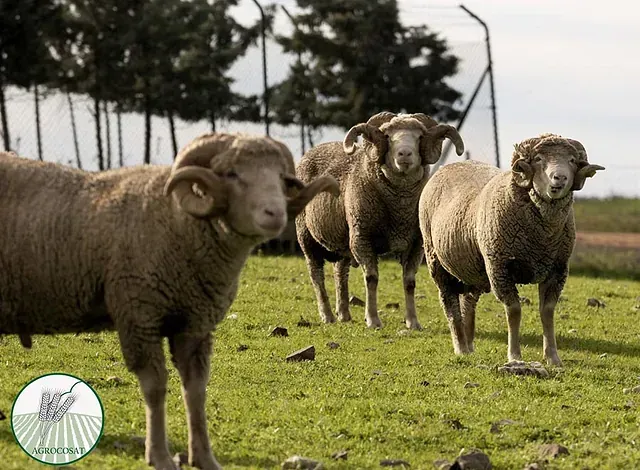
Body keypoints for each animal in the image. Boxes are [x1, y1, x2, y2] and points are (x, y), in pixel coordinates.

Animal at [0, 133, 338, 470]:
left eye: (282, 178)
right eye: (231, 174)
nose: (275, 214)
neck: (178, 222)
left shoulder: (196, 326)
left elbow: (196, 391)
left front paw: (204, 458)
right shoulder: (140, 316)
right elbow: (155, 387)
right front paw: (159, 456)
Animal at [296, 112, 464, 329]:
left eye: (419, 137)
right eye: (387, 136)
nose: (404, 154)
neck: (399, 208)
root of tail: (310, 153)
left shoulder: (416, 244)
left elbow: (409, 282)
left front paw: (413, 322)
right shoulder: (362, 238)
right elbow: (371, 278)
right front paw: (373, 319)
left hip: (344, 238)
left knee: (340, 271)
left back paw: (343, 313)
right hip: (306, 236)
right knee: (316, 274)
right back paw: (327, 315)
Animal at [418, 133, 605, 365]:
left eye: (571, 160)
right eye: (539, 159)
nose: (559, 178)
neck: (541, 237)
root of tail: (450, 166)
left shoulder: (557, 270)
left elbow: (547, 312)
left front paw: (553, 357)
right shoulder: (500, 267)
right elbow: (514, 311)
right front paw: (515, 355)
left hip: (475, 269)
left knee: (468, 302)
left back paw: (469, 346)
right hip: (437, 261)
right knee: (450, 304)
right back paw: (460, 346)